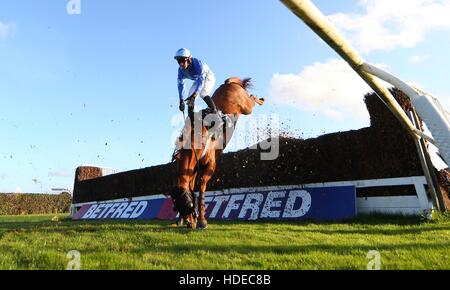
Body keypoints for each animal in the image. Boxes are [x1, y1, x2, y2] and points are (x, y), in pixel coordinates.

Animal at [171, 77, 266, 229]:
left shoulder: (210, 165)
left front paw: (202, 221)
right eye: (177, 207)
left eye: (188, 205)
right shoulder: (193, 168)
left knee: (251, 98)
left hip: (246, 107)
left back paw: (261, 99)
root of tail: (228, 83)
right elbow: (191, 185)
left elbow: (202, 186)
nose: (189, 224)